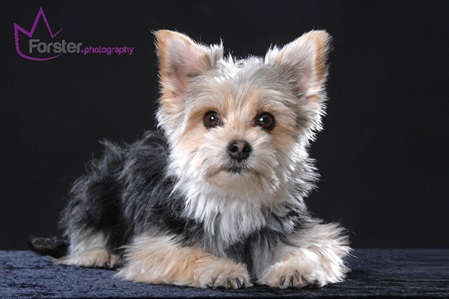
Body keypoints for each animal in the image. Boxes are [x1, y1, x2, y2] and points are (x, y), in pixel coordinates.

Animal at [28, 29, 350, 290]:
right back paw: (97, 254)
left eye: (266, 120)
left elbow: (314, 247)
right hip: (97, 190)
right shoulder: (155, 244)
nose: (239, 147)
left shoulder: (291, 231)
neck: (232, 194)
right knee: (84, 228)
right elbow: (188, 254)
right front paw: (221, 269)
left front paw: (296, 268)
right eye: (211, 118)